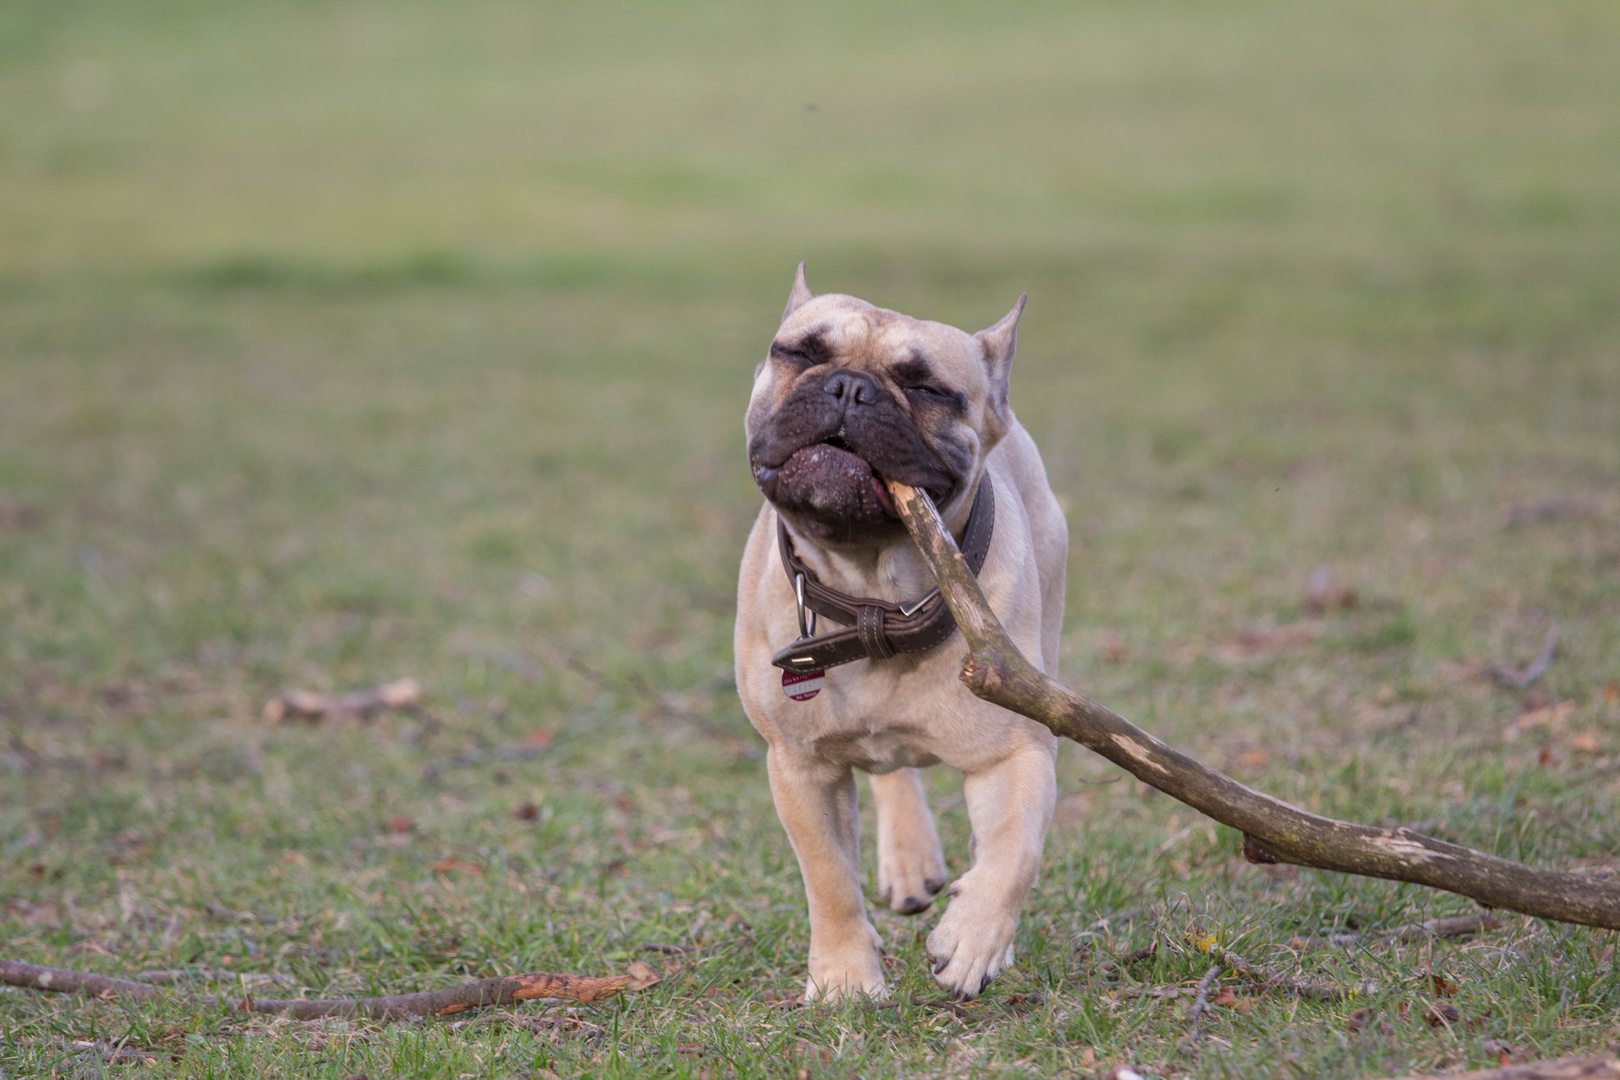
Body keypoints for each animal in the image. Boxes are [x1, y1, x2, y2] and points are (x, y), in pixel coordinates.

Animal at [732, 265, 1062, 1003]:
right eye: (798, 352)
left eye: (928, 388)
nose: (849, 388)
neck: (874, 596)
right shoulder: (800, 768)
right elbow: (827, 875)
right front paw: (847, 980)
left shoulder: (1016, 753)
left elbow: (1015, 851)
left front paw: (973, 939)